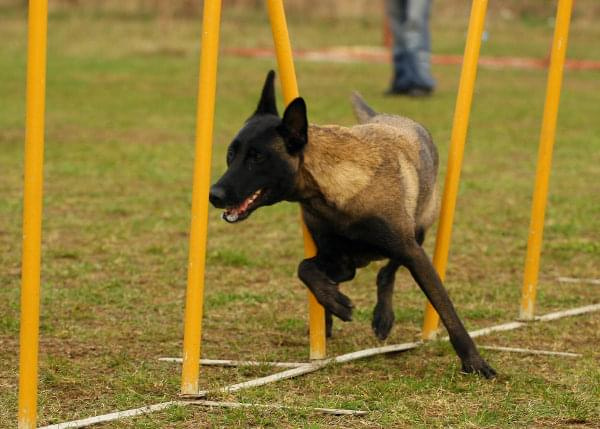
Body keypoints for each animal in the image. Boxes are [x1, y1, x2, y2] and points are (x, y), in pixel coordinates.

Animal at [211, 71, 496, 378]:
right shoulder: (339, 259)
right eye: (231, 154)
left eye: (257, 157)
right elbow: (305, 269)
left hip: (418, 231)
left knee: (387, 272)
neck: (332, 195)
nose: (214, 194)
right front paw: (334, 303)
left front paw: (475, 362)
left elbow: (446, 309)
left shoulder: (412, 253)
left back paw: (382, 317)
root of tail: (386, 115)